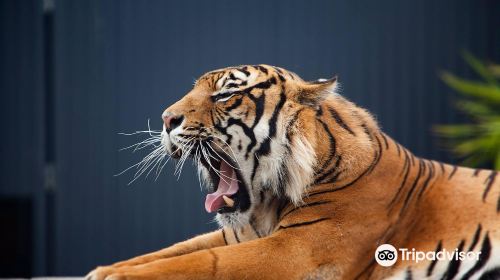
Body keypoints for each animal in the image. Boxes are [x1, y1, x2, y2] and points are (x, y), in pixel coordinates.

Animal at [87, 64, 500, 278]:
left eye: (225, 95)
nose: (166, 119)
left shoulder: (297, 249)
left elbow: (202, 263)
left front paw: (117, 277)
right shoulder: (238, 234)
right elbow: (171, 252)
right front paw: (105, 270)